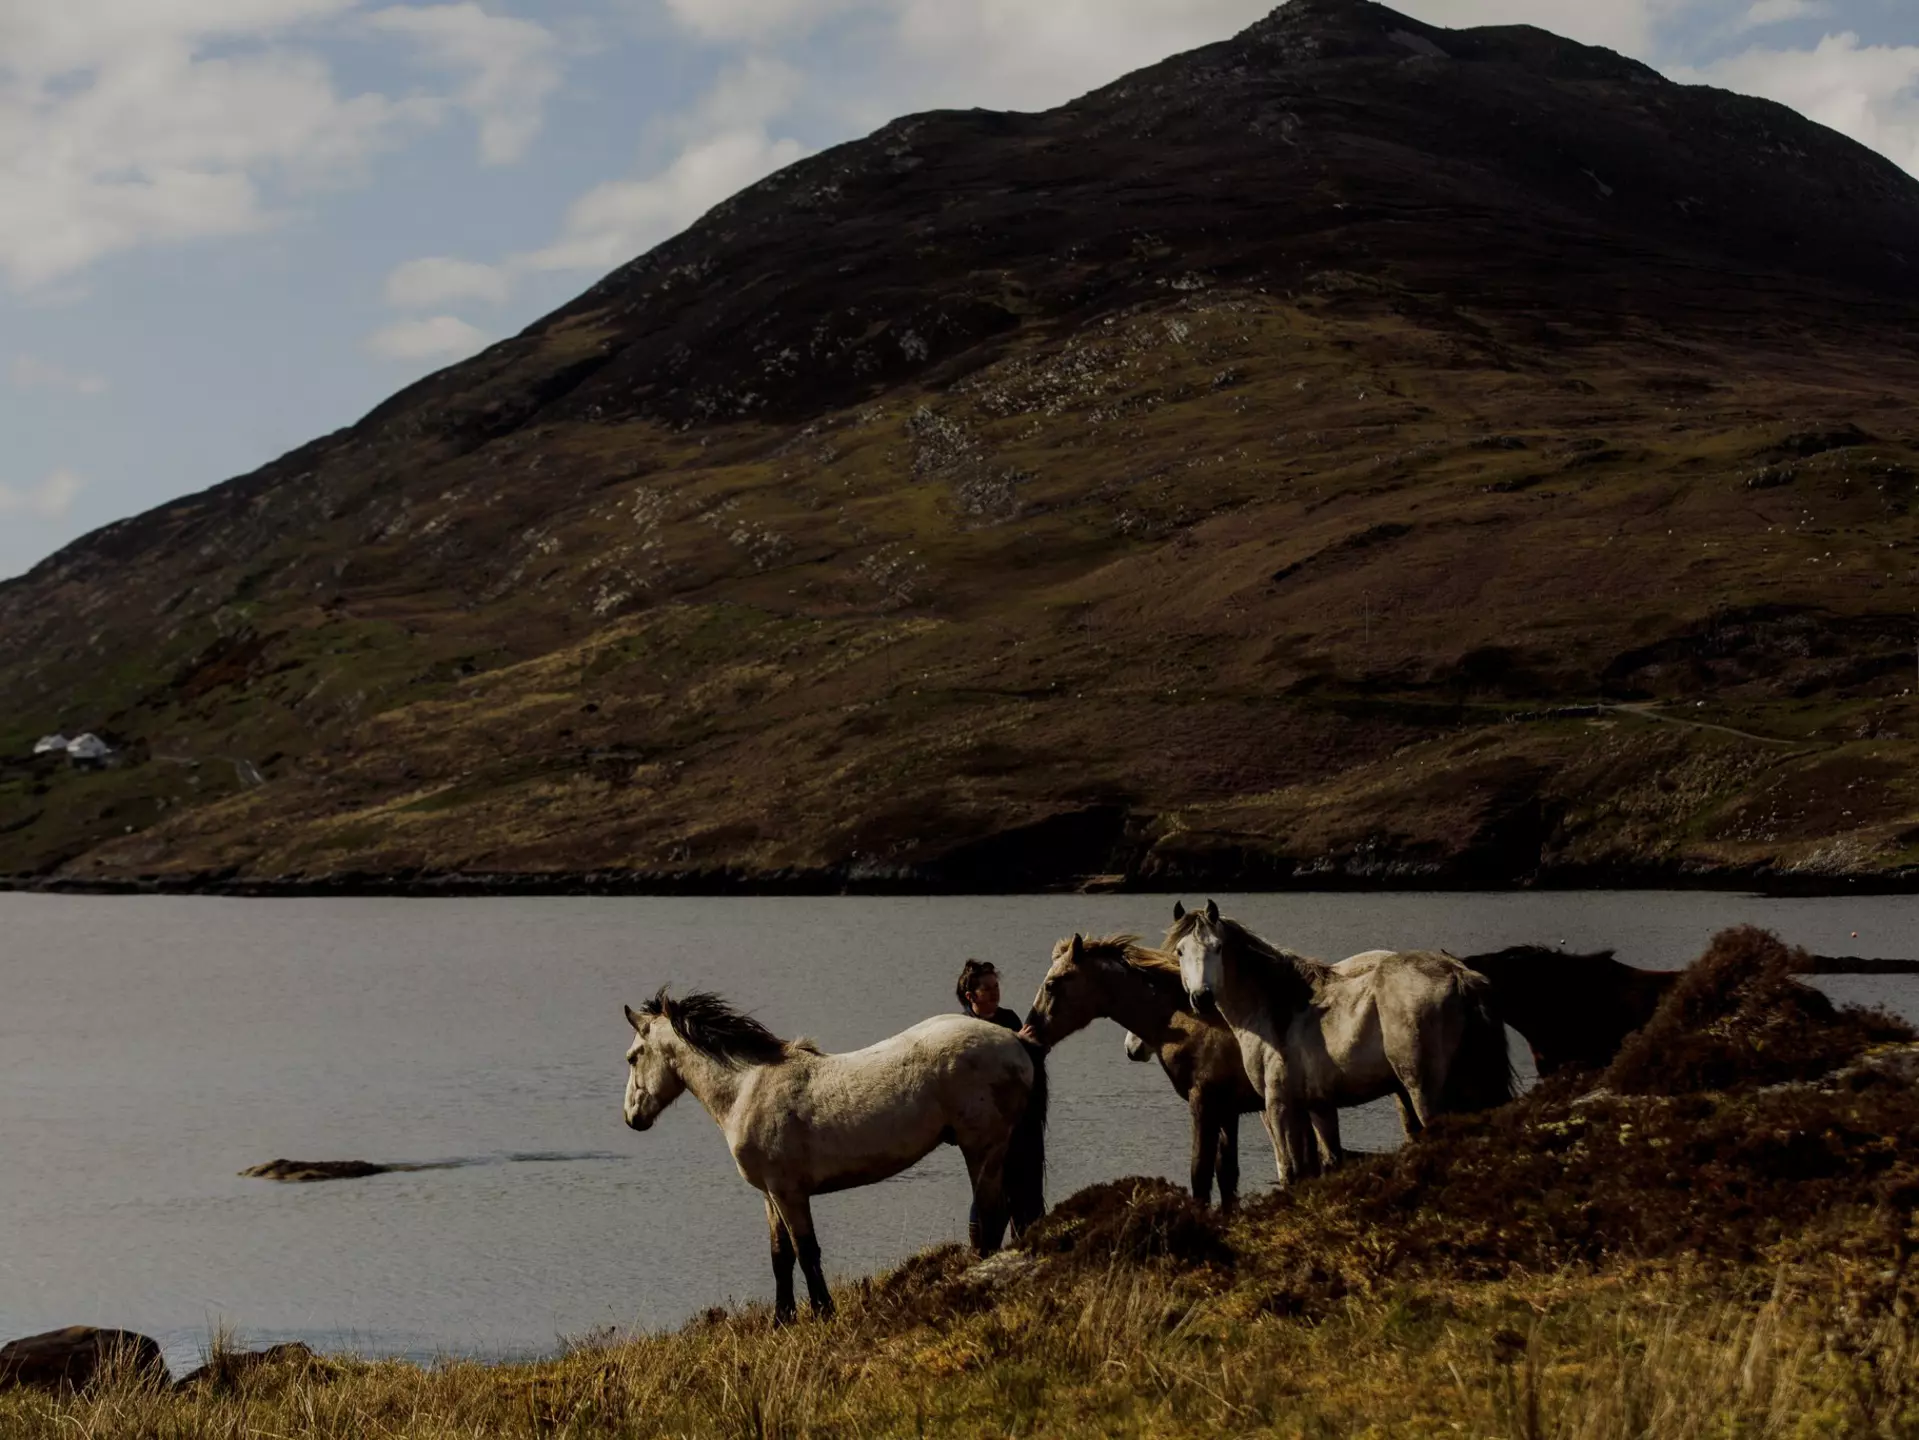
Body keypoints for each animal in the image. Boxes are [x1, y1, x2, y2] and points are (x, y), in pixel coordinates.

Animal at [622, 989, 1047, 1323]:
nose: (631, 1118)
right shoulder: (770, 1195)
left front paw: (822, 1313)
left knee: (992, 1212)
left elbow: (806, 1251)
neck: (748, 1088)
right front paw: (782, 1321)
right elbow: (780, 1256)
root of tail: (1014, 1040)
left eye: (632, 1057)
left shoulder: (789, 1193)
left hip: (982, 1147)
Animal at [1168, 901, 1514, 1187]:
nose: (1201, 998)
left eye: (1217, 948)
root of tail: (1457, 974)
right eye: (1181, 951)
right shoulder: (1318, 1105)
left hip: (1424, 1089)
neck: (1274, 1010)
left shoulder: (1278, 1105)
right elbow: (1322, 1163)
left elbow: (1290, 1171)